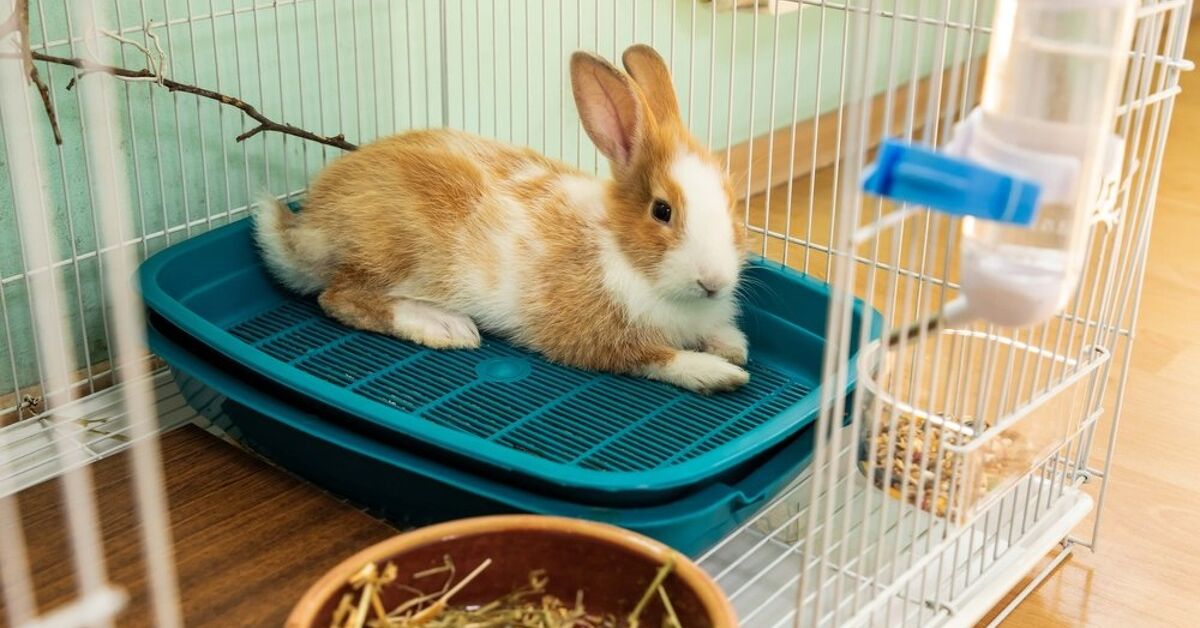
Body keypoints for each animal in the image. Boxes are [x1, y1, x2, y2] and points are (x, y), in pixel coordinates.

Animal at [254, 44, 750, 394]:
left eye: (731, 202)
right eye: (662, 211)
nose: (714, 282)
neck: (624, 254)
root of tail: (305, 228)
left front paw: (732, 345)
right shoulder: (595, 339)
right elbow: (655, 358)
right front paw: (718, 373)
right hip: (394, 254)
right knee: (339, 297)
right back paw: (443, 326)